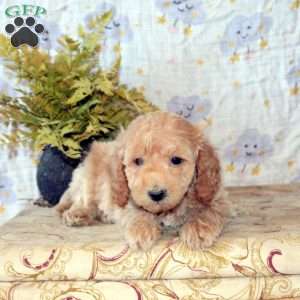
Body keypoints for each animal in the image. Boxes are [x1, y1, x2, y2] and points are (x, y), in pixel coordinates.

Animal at [56, 111, 227, 250]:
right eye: (138, 161)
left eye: (176, 160)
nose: (156, 194)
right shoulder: (126, 195)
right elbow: (136, 211)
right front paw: (141, 229)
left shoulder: (216, 196)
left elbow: (208, 210)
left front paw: (198, 229)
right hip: (90, 172)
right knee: (85, 199)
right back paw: (77, 213)